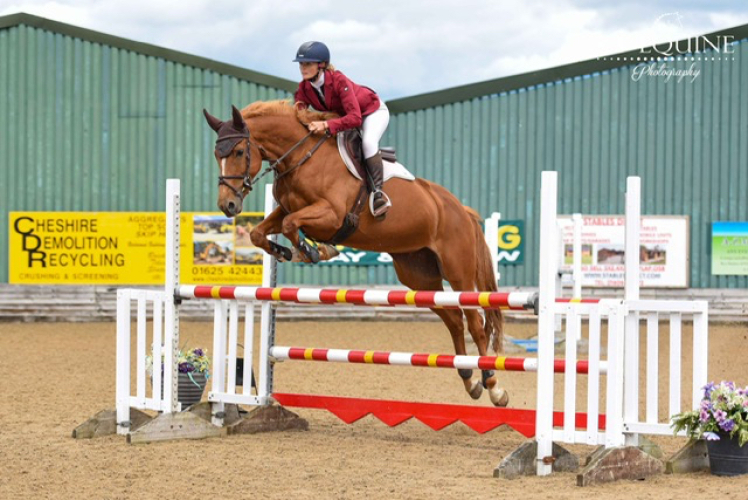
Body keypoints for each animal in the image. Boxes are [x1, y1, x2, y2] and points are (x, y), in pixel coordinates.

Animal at [202, 101, 509, 407]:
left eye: (239, 152)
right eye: (217, 155)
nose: (227, 205)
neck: (302, 156)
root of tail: (460, 209)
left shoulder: (331, 215)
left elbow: (292, 225)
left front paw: (313, 251)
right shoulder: (286, 210)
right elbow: (259, 232)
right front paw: (287, 251)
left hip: (458, 272)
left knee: (476, 324)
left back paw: (494, 386)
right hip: (420, 277)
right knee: (455, 320)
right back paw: (470, 380)